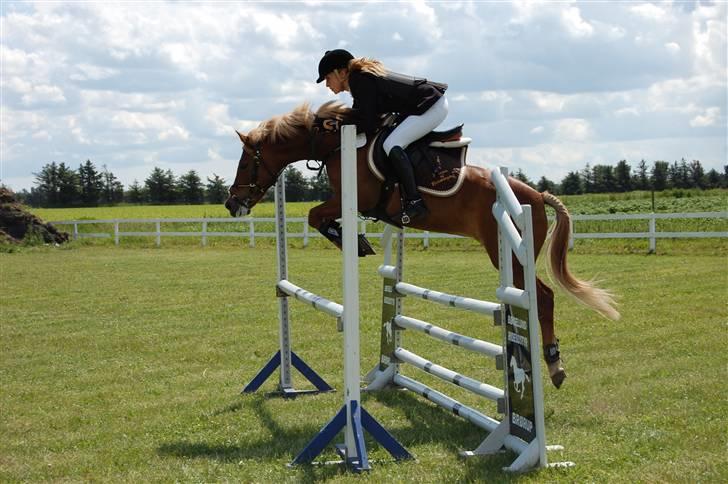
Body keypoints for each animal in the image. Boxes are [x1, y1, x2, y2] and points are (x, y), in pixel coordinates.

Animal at [223, 100, 620, 388]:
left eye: (244, 163)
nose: (231, 204)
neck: (336, 144)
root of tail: (536, 195)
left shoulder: (355, 198)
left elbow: (313, 215)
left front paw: (353, 242)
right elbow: (316, 216)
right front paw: (356, 240)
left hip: (508, 252)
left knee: (543, 297)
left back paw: (554, 366)